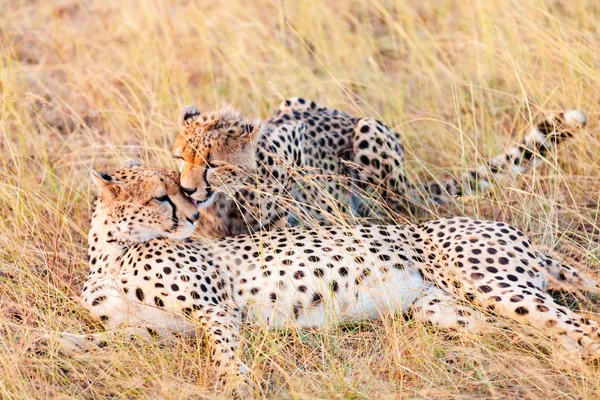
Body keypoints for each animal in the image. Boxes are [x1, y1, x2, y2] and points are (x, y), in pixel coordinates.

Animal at [50, 160, 600, 396]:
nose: (192, 214)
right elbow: (111, 338)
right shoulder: (159, 331)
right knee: (527, 334)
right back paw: (560, 357)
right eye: (163, 196)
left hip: (492, 284)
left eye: (180, 192)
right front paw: (56, 342)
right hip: (449, 310)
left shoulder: (213, 309)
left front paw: (236, 381)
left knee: (582, 325)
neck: (110, 253)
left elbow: (225, 350)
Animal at [172, 99, 584, 238]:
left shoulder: (292, 139)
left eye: (212, 164)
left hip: (370, 131)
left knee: (394, 207)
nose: (188, 190)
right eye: (181, 159)